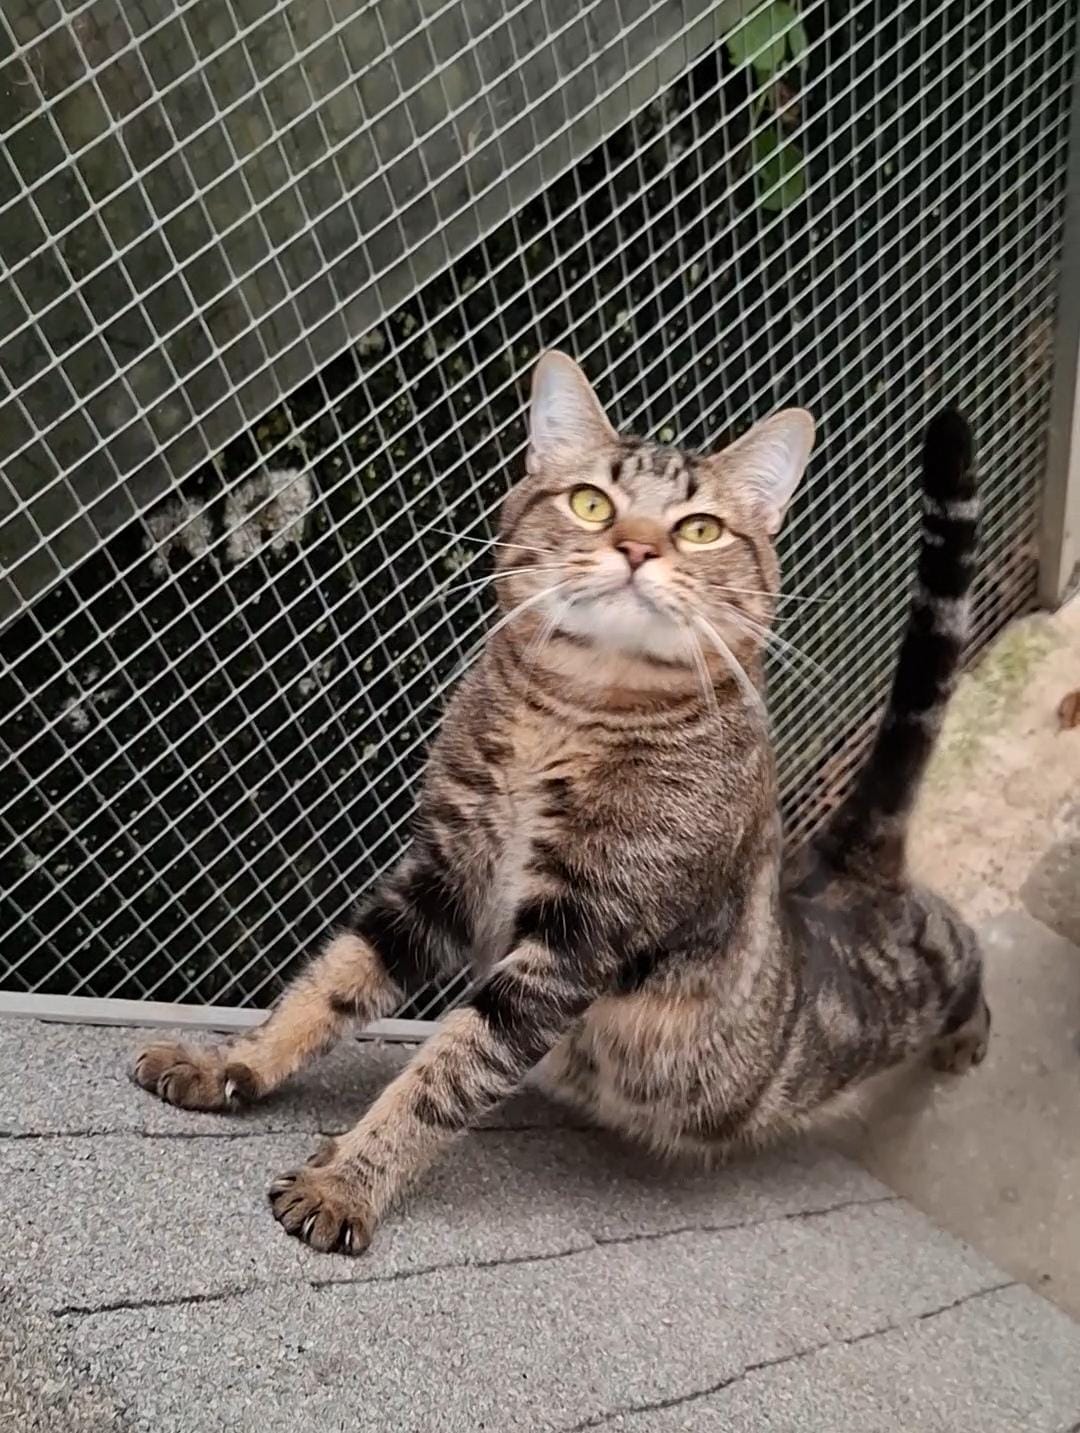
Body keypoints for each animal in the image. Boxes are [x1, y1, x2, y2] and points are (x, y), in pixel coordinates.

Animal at [133, 349, 988, 1256]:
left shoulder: (575, 941)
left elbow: (444, 1073)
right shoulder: (442, 875)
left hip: (868, 1014)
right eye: (591, 503)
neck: (569, 715)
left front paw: (347, 1180)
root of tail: (843, 872)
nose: (637, 546)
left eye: (700, 528)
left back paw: (969, 1033)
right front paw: (231, 1063)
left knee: (967, 953)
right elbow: (325, 985)